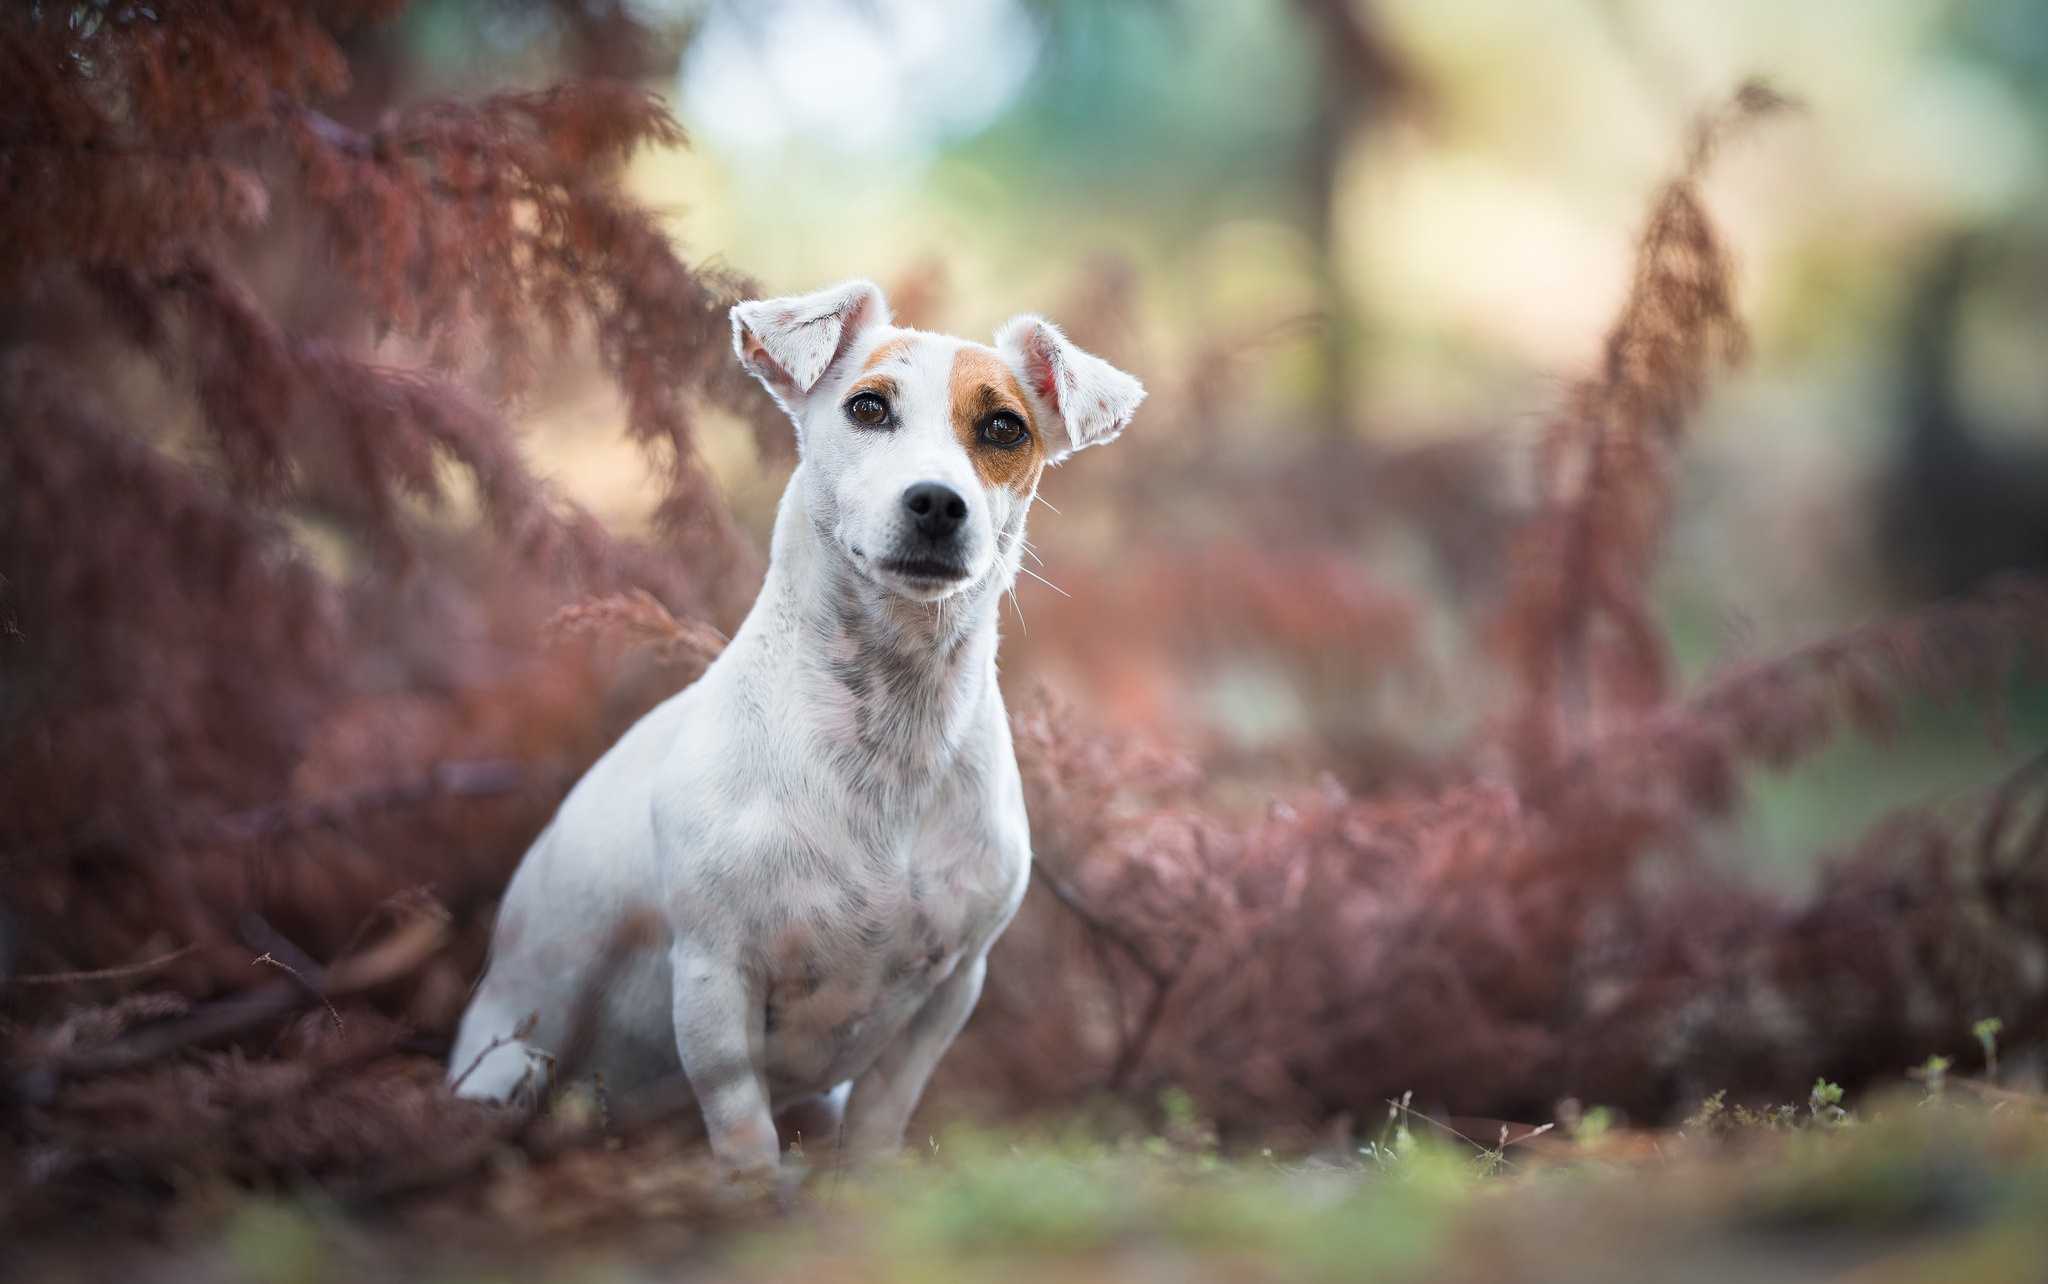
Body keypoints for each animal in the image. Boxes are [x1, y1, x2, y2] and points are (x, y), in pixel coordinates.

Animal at [448, 278, 1146, 1179]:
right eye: (868, 407)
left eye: (1004, 427)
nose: (936, 502)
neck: (890, 727)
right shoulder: (714, 978)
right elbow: (743, 1123)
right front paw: (756, 1194)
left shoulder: (949, 991)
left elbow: (881, 1118)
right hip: (512, 1064)